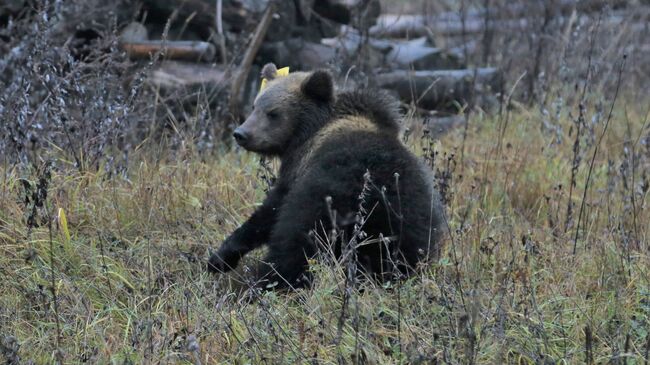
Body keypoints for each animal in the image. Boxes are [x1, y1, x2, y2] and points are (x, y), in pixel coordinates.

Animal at [208, 64, 446, 288]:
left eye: (273, 113)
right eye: (254, 106)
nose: (241, 134)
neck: (308, 131)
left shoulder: (298, 170)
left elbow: (270, 210)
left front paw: (221, 258)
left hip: (321, 207)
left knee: (292, 249)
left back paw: (264, 283)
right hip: (412, 220)